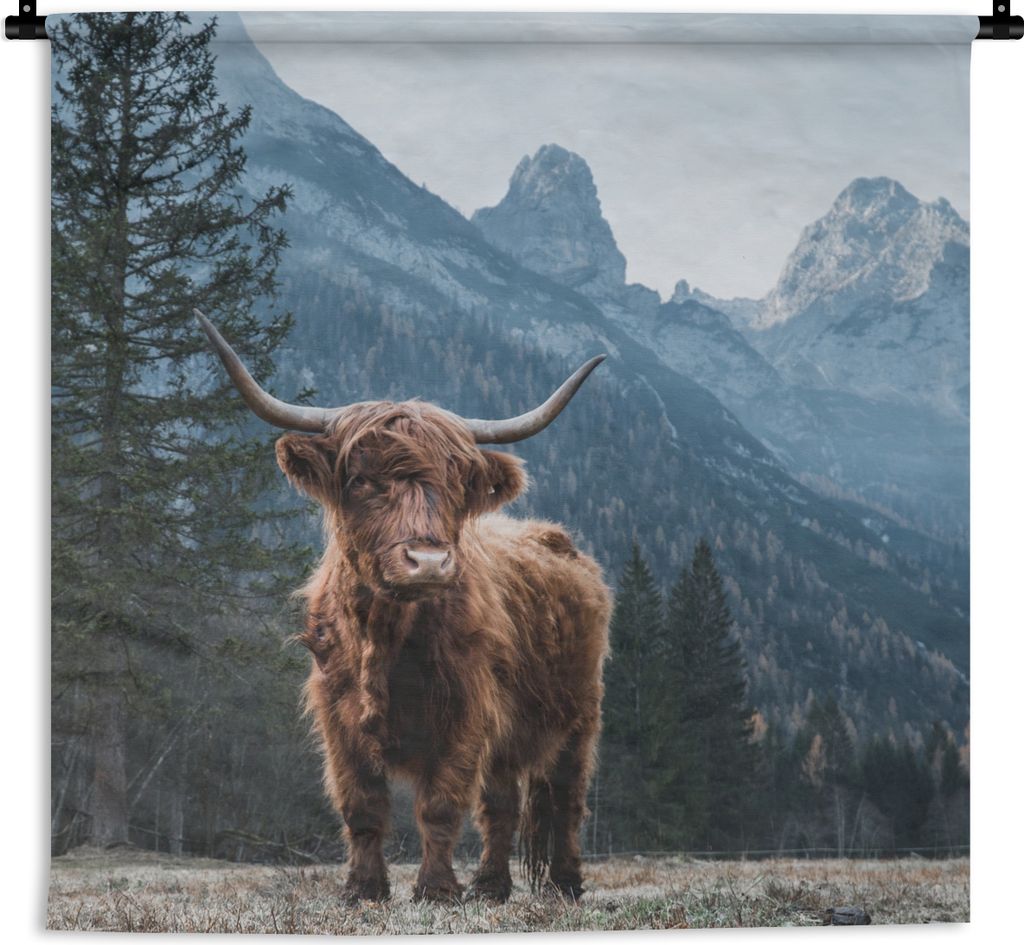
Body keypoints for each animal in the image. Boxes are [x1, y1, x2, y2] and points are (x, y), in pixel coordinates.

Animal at [196, 310, 611, 904]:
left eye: (457, 483)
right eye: (362, 479)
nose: (430, 561)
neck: (386, 637)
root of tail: (556, 539)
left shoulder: (465, 712)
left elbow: (440, 806)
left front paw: (435, 889)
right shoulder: (338, 718)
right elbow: (362, 806)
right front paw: (363, 889)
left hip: (580, 714)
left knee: (566, 798)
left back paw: (565, 884)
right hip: (511, 734)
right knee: (502, 805)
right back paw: (491, 886)